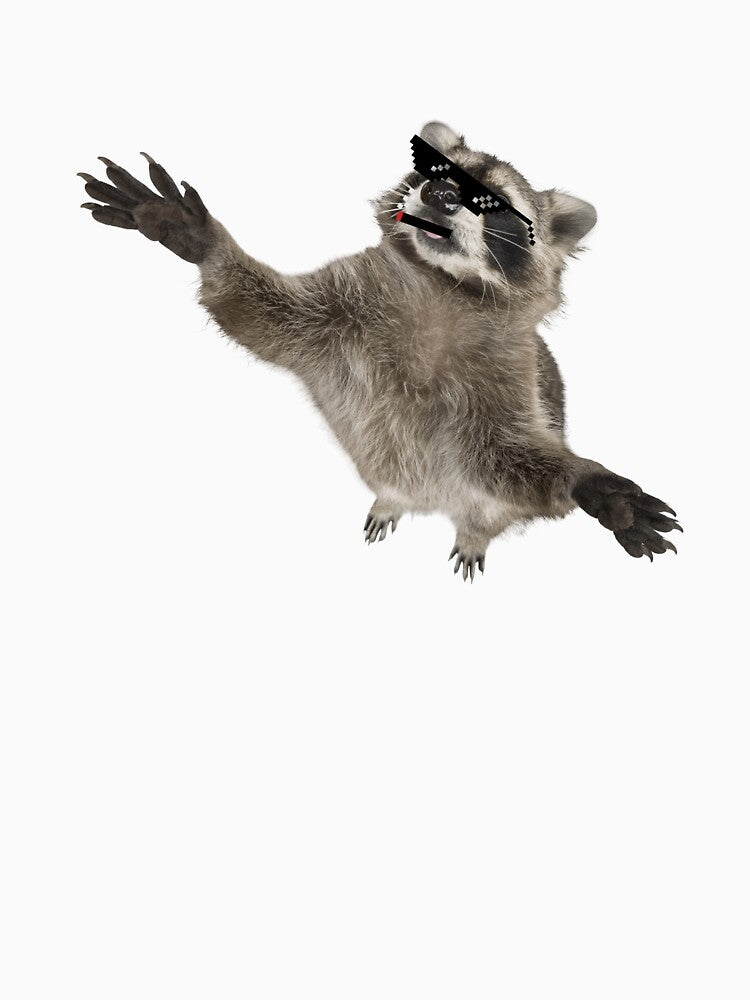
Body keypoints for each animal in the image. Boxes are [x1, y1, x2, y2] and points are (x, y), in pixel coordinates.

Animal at [78, 122, 680, 580]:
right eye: (435, 173)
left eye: (496, 204)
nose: (440, 196)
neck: (440, 286)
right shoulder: (337, 314)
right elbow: (261, 313)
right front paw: (199, 239)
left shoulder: (508, 377)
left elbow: (509, 458)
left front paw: (589, 480)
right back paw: (393, 498)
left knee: (490, 506)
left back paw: (474, 532)